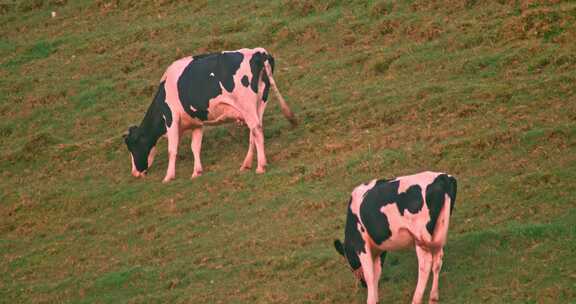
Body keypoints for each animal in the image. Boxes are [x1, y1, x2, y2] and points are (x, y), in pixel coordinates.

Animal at [126, 47, 296, 183]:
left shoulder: (171, 118)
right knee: (254, 133)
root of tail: (259, 52)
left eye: (132, 146)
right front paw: (196, 172)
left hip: (247, 105)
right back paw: (246, 164)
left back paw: (260, 166)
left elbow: (172, 149)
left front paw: (168, 177)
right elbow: (195, 147)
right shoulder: (196, 123)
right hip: (260, 104)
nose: (134, 173)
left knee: (257, 131)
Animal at [336, 171, 456, 304]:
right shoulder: (379, 250)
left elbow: (370, 275)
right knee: (437, 260)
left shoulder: (361, 244)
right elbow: (376, 274)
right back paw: (433, 298)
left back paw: (416, 299)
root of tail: (442, 177)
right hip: (439, 229)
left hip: (421, 234)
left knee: (425, 264)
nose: (363, 285)